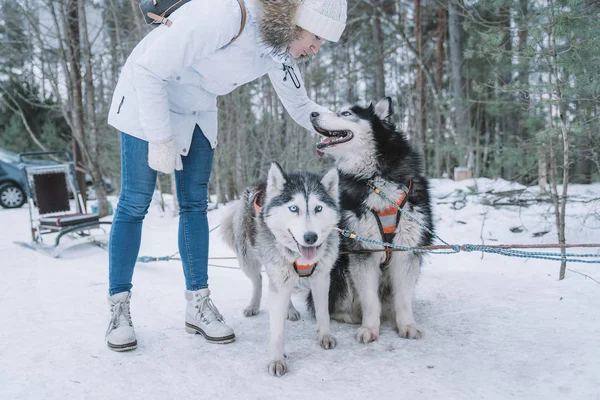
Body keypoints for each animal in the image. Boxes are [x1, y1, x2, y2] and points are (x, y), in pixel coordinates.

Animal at [221, 162, 342, 376]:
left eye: (318, 208)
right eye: (294, 208)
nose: (310, 237)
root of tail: (259, 183)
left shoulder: (321, 277)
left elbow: (323, 313)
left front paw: (325, 335)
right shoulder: (279, 281)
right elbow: (277, 331)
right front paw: (277, 360)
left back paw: (290, 309)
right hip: (249, 262)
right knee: (258, 280)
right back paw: (254, 305)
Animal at [312, 97, 434, 344]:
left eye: (345, 113)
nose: (312, 114)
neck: (376, 179)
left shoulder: (406, 249)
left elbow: (403, 298)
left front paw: (406, 324)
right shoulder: (362, 251)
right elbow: (370, 301)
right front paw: (369, 328)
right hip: (339, 270)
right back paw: (349, 316)